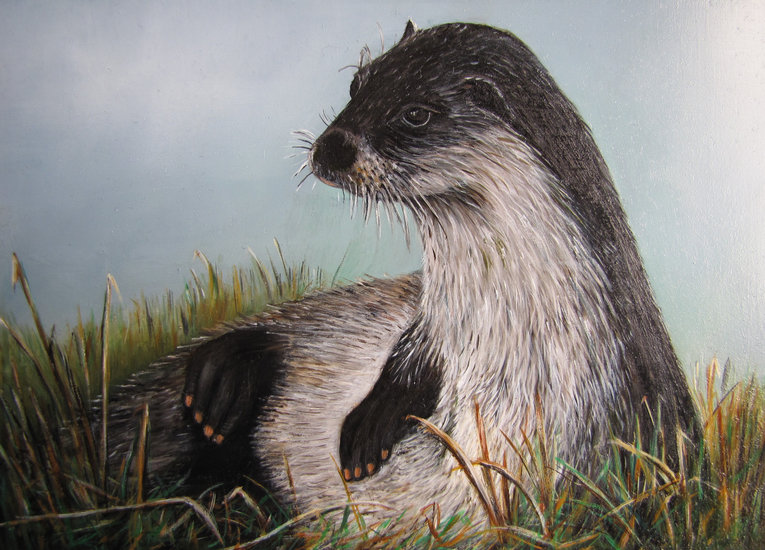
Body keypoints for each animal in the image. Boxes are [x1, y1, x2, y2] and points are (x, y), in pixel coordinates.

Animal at [108, 21, 700, 522]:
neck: (508, 339)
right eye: (356, 83)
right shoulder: (431, 325)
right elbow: (406, 361)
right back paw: (221, 382)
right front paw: (364, 429)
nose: (331, 148)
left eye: (416, 113)